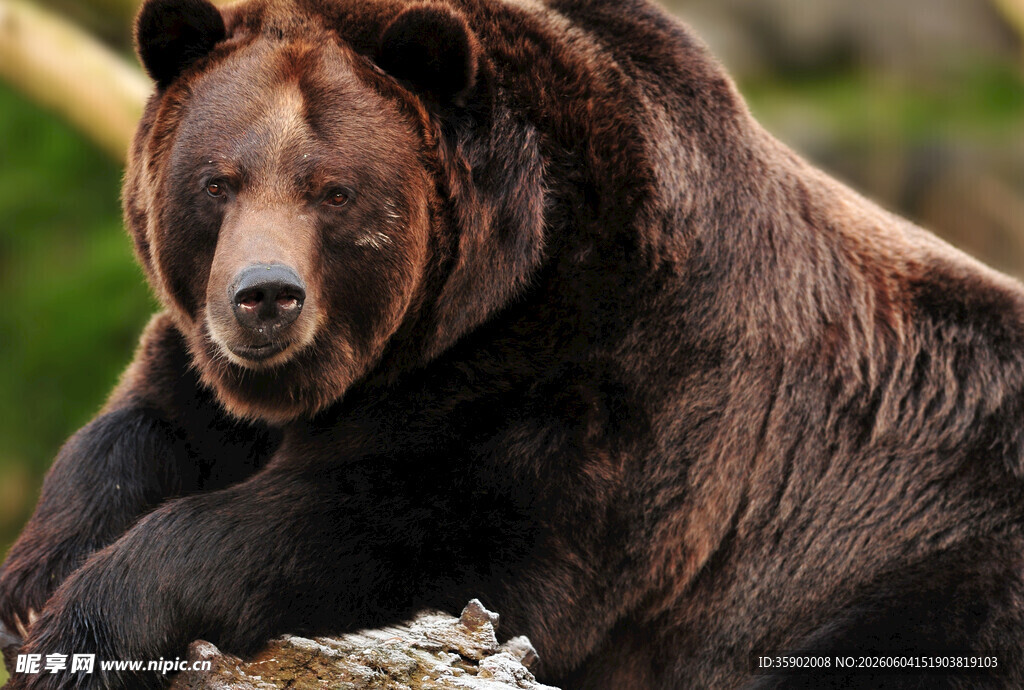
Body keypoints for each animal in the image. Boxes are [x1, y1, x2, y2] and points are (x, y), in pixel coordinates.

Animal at [3, 0, 1024, 687]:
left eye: (333, 189)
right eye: (218, 180)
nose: (265, 298)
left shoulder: (606, 370)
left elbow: (427, 528)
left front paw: (91, 620)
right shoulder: (218, 364)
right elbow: (143, 424)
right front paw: (36, 578)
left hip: (926, 552)